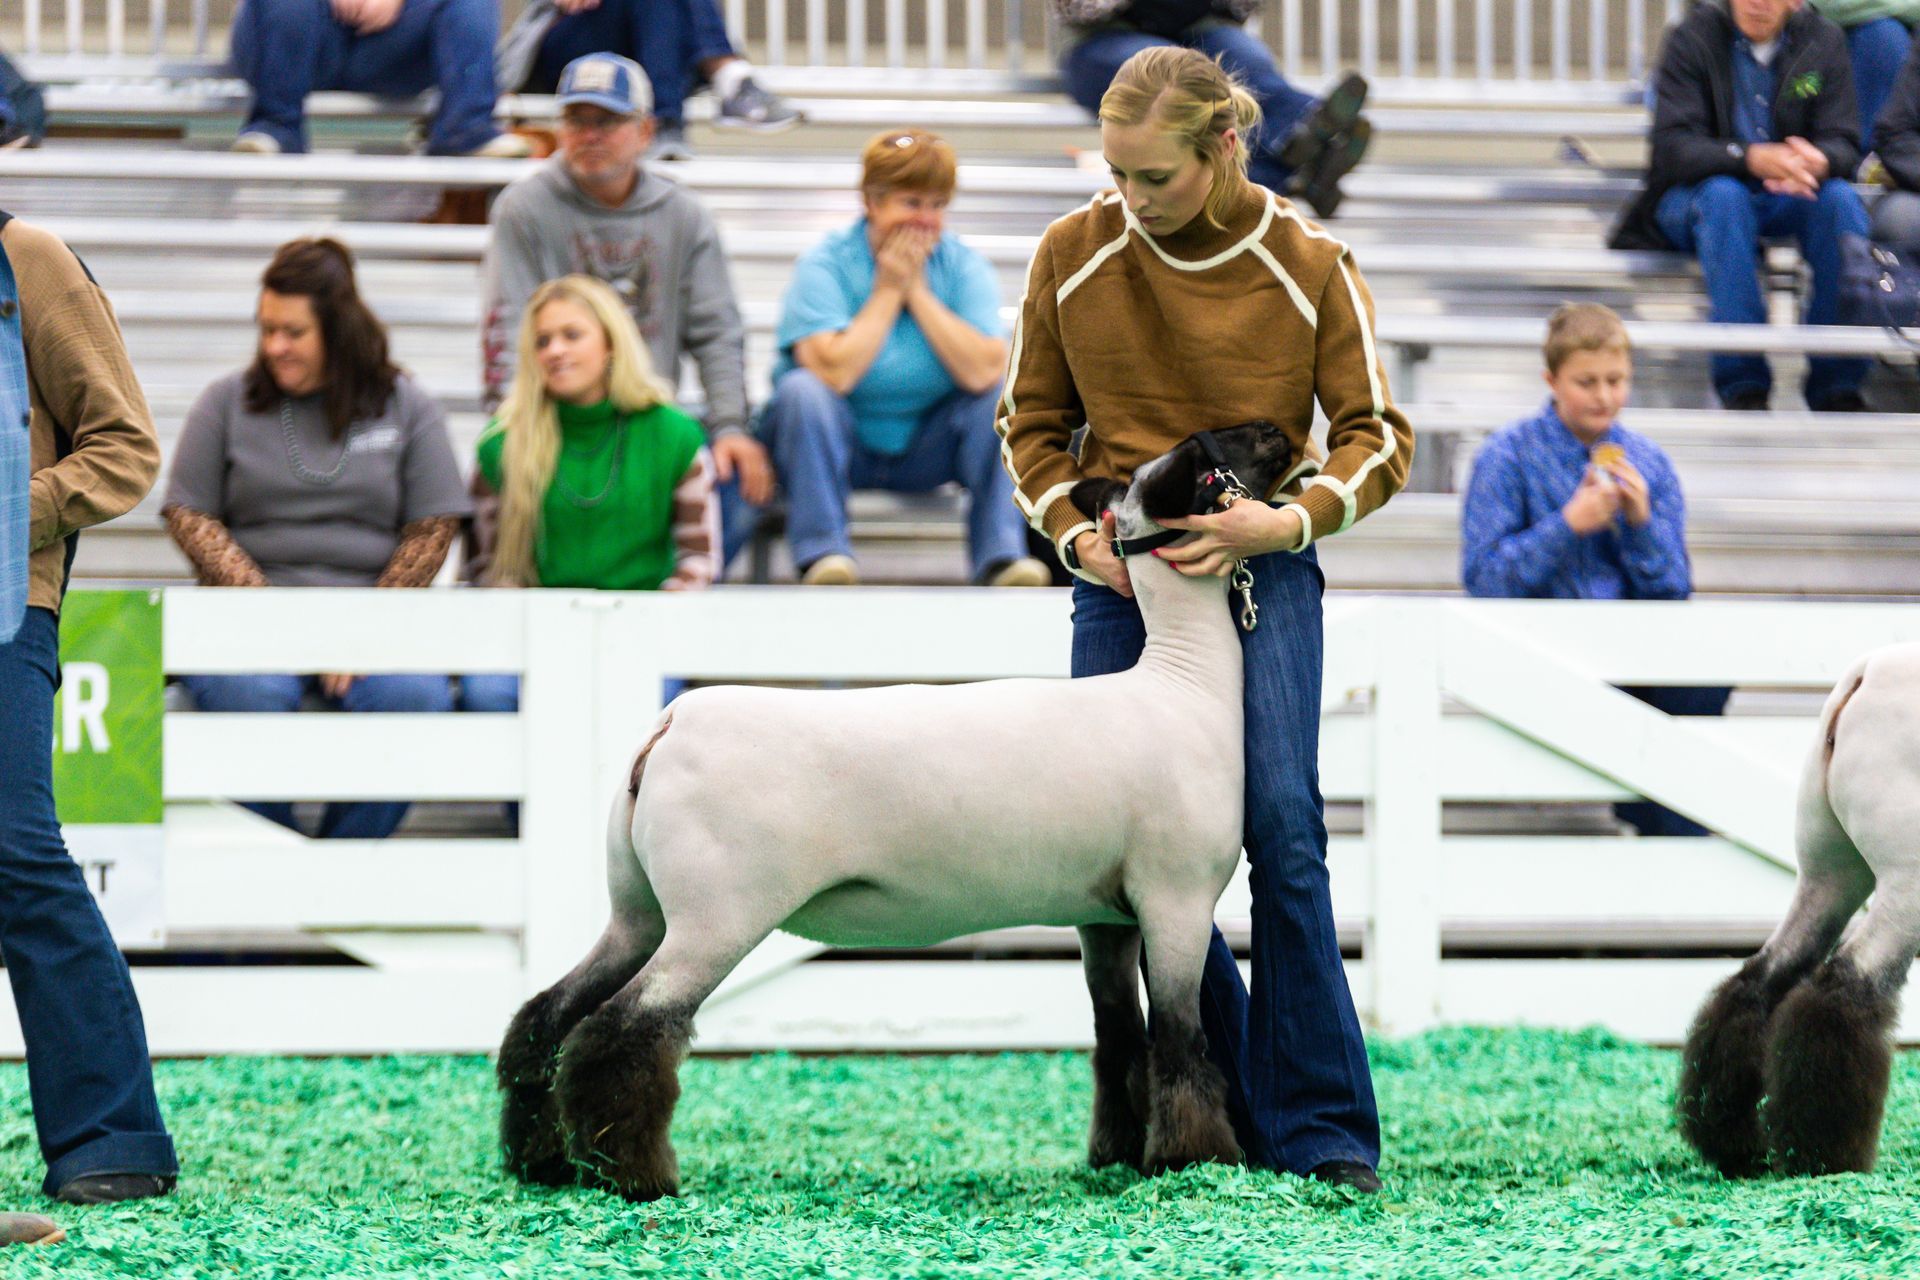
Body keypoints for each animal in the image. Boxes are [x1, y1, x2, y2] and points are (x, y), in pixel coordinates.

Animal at [494, 421, 1296, 1201]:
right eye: (1215, 456)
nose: (1280, 432)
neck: (1183, 683)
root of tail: (668, 726)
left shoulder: (1105, 914)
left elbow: (1120, 1034)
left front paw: (1118, 1155)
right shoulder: (1176, 897)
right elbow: (1181, 1039)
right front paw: (1195, 1160)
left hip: (640, 909)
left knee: (546, 1016)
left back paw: (542, 1160)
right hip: (716, 914)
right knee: (623, 1029)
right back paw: (636, 1176)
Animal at [1679, 643, 1920, 1177]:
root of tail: (1864, 677)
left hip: (1827, 869)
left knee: (1760, 978)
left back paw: (1733, 1140)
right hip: (1907, 880)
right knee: (1842, 988)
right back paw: (1825, 1156)